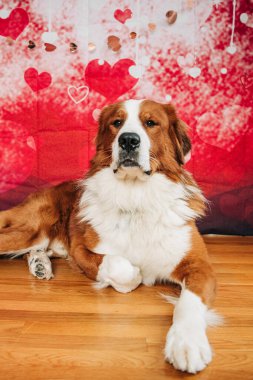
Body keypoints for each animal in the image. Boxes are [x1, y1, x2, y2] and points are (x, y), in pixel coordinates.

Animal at [0, 98, 217, 374]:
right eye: (117, 122)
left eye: (151, 123)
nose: (128, 140)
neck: (136, 197)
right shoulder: (80, 249)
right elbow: (123, 267)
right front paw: (134, 275)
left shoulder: (199, 265)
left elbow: (189, 302)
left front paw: (186, 343)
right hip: (31, 230)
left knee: (38, 249)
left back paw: (40, 264)